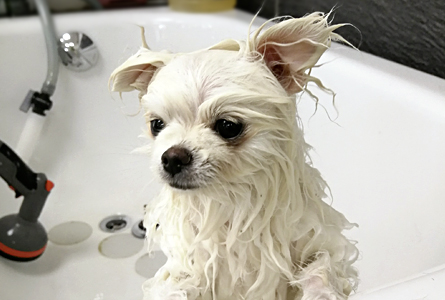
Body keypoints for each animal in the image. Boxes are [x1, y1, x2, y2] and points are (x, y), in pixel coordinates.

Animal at [110, 12, 358, 300]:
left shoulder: (316, 239)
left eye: (228, 126)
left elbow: (321, 265)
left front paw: (320, 292)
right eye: (156, 125)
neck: (233, 203)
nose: (172, 157)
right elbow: (178, 282)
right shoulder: (194, 261)